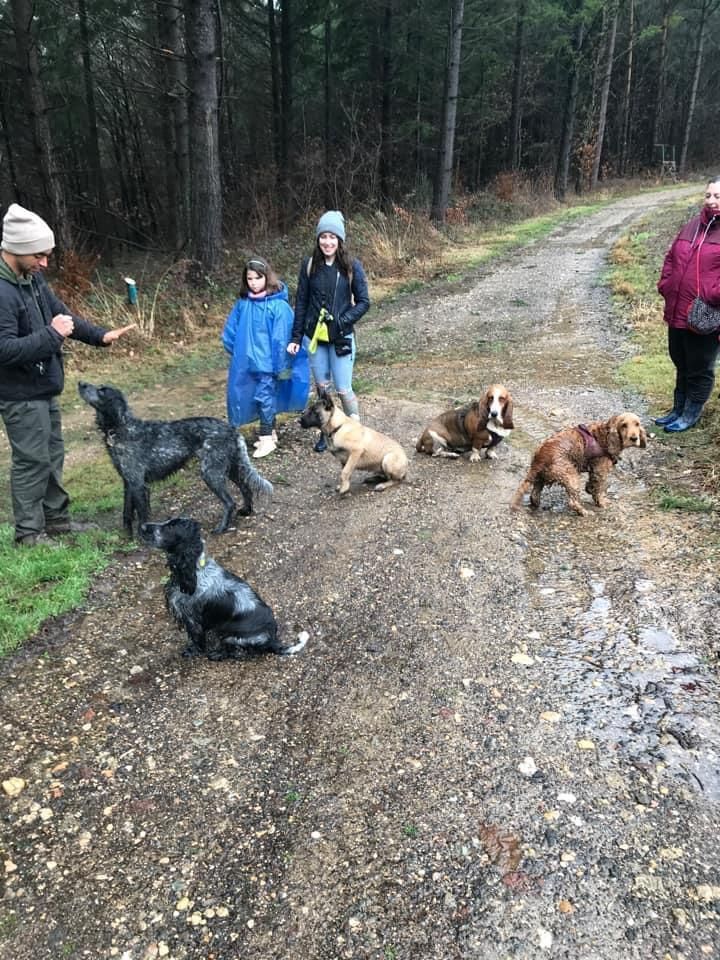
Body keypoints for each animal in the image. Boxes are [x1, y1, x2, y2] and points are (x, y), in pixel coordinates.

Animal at [142, 516, 308, 660]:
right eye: (167, 521)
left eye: (171, 527)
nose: (143, 526)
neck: (195, 570)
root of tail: (273, 640)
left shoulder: (191, 618)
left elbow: (196, 639)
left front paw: (192, 651)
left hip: (233, 637)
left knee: (239, 652)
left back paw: (217, 654)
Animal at [512, 412, 648, 516]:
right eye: (624, 425)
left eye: (637, 424)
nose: (634, 438)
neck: (606, 434)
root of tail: (540, 458)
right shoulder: (600, 470)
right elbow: (599, 489)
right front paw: (602, 502)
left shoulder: (594, 470)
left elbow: (592, 485)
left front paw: (590, 490)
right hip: (570, 475)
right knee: (572, 501)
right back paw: (584, 512)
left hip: (541, 477)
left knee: (534, 494)